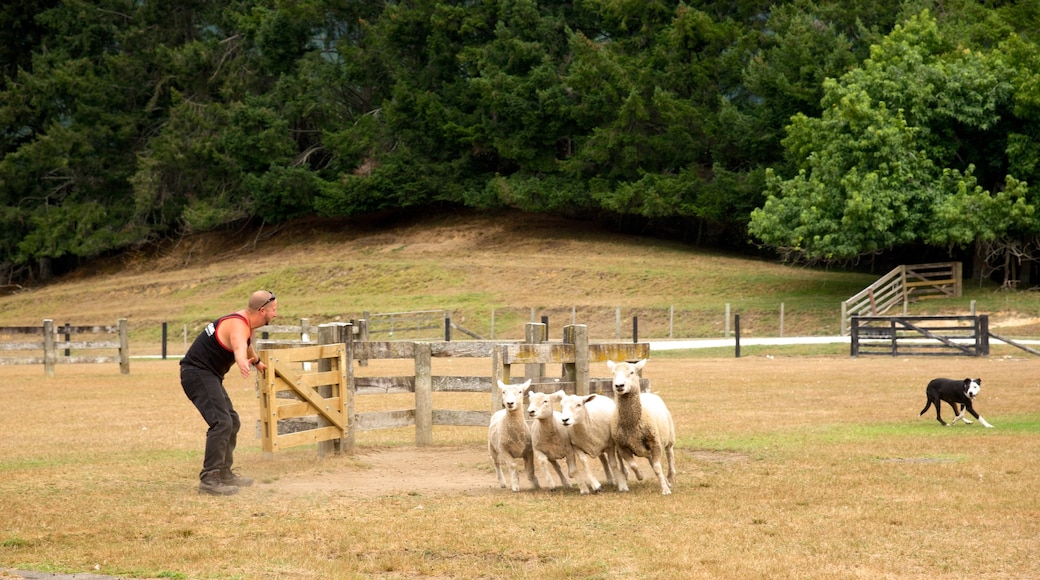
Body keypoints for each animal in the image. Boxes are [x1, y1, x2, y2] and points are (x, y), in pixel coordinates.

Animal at [607, 359, 673, 494]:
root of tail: (649, 394)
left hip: (669, 437)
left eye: (632, 372)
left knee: (670, 454)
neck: (631, 424)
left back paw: (670, 477)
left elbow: (657, 467)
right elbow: (634, 465)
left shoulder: (655, 443)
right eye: (613, 373)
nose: (619, 386)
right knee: (651, 460)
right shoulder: (622, 446)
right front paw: (640, 476)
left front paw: (665, 489)